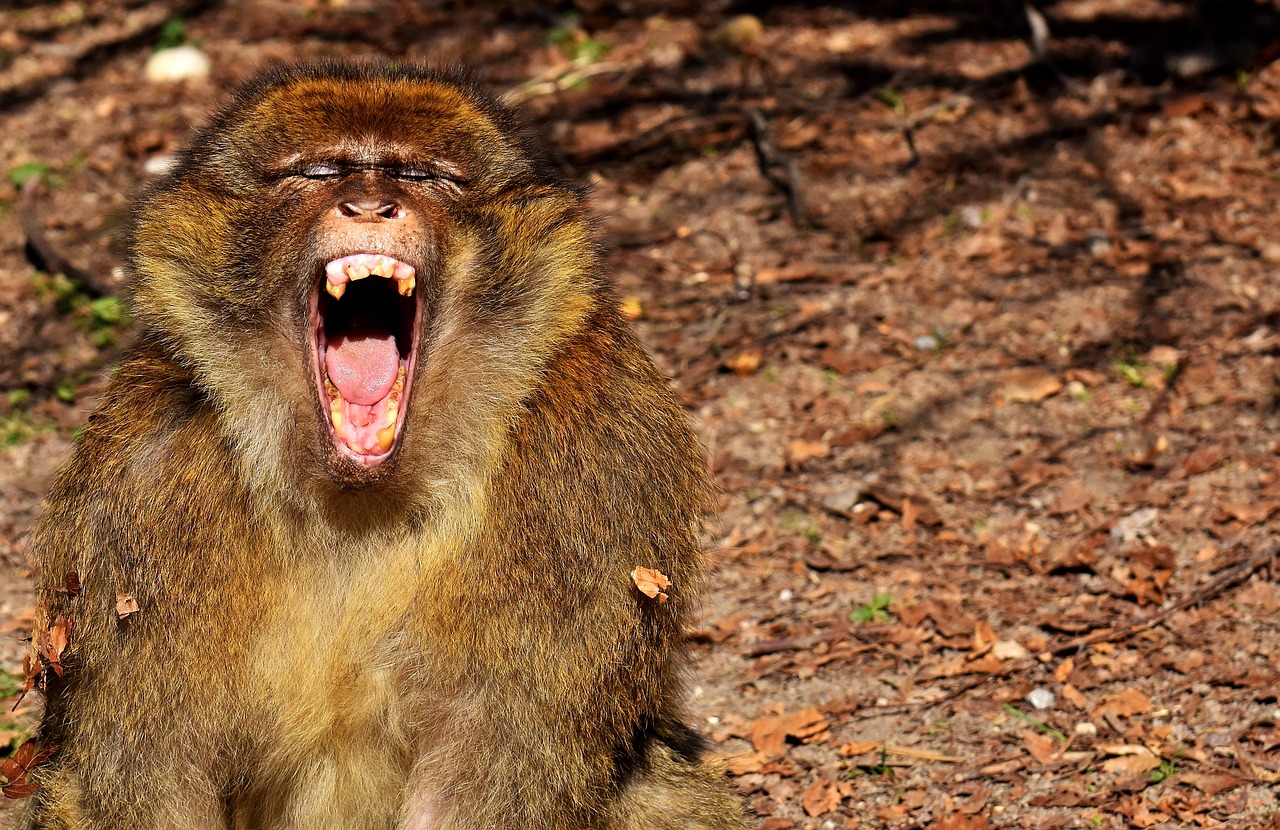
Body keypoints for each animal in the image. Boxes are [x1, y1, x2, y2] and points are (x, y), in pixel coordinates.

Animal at [17, 61, 747, 824]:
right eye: (319, 171)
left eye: (423, 176)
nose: (370, 205)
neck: (358, 502)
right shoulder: (137, 486)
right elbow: (137, 778)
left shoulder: (589, 463)